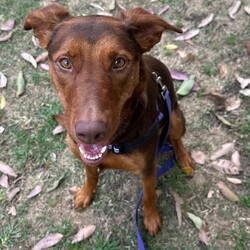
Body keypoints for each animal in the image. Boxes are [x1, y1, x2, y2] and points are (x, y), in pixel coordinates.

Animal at [23, 3, 195, 236]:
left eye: (119, 62)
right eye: (65, 62)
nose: (90, 134)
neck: (114, 143)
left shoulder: (148, 169)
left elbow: (149, 195)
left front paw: (151, 218)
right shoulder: (83, 155)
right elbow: (90, 175)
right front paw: (86, 193)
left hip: (175, 117)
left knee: (176, 137)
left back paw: (183, 157)